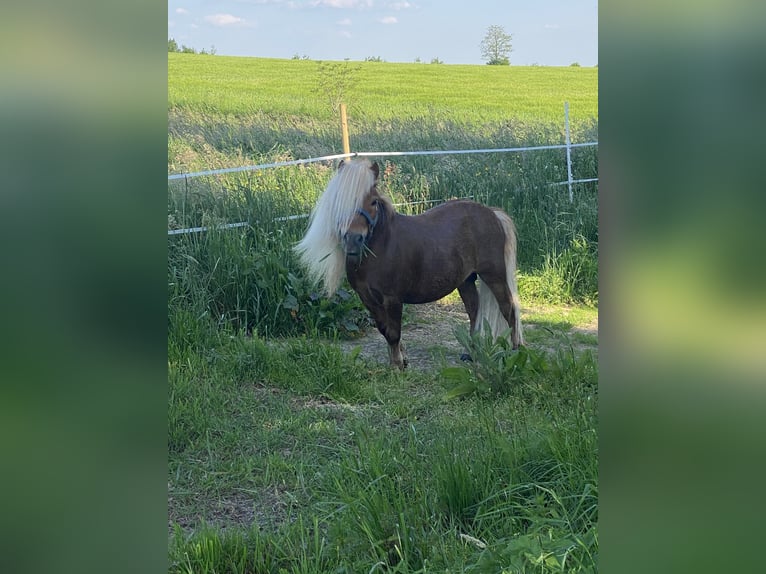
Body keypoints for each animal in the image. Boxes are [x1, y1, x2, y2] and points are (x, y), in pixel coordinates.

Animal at [294, 158, 523, 369]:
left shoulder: (393, 298)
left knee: (509, 309)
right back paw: (471, 352)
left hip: (494, 275)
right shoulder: (367, 298)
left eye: (373, 202)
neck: (381, 247)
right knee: (474, 310)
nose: (353, 239)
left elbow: (394, 332)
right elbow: (384, 329)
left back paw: (516, 351)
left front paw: (397, 364)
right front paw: (399, 360)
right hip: (465, 280)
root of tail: (492, 213)